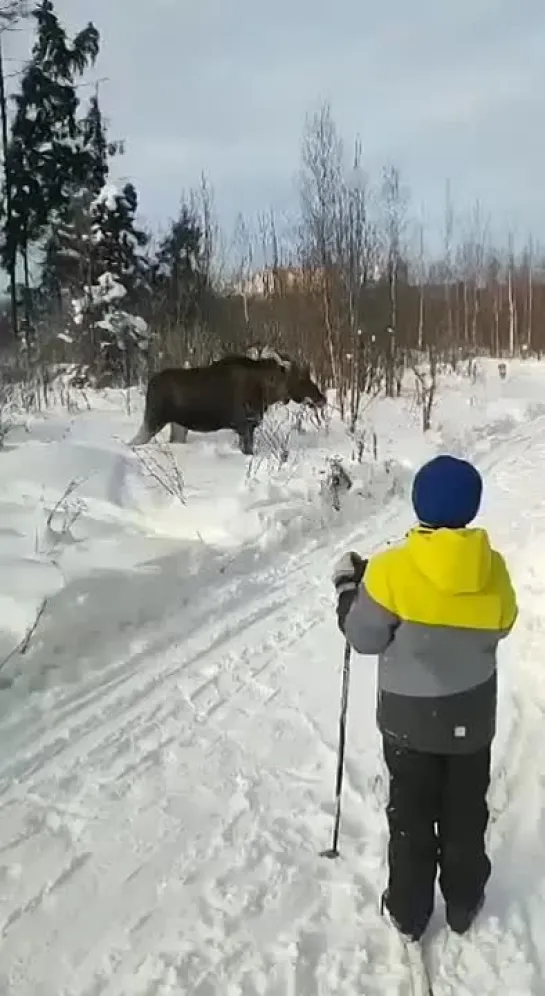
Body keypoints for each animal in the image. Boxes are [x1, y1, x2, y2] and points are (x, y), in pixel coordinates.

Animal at [130, 352, 326, 454]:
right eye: (300, 378)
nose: (321, 399)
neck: (268, 393)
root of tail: (150, 384)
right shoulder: (245, 426)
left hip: (178, 425)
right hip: (154, 419)